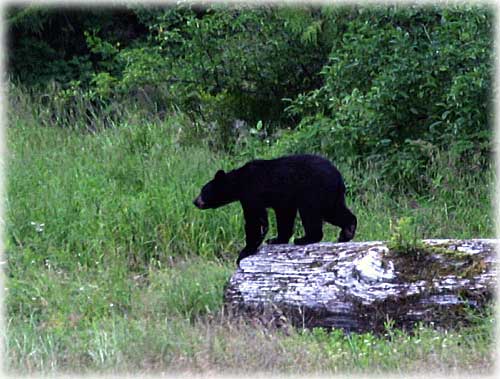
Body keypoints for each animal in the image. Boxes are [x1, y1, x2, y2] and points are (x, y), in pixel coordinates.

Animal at [193, 153, 358, 266]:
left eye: (203, 190)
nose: (195, 201)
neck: (240, 182)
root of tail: (338, 177)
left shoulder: (252, 193)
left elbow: (255, 220)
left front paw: (245, 252)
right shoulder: (283, 200)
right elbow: (284, 216)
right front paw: (276, 239)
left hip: (313, 190)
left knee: (310, 212)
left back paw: (304, 239)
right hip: (329, 195)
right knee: (334, 211)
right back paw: (347, 231)